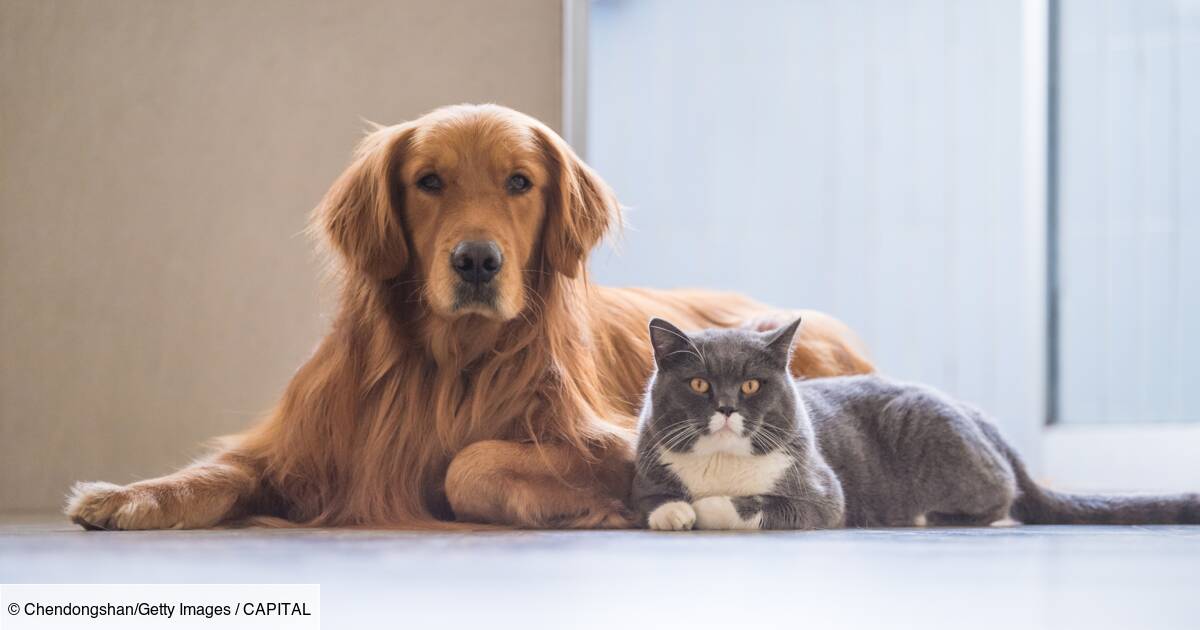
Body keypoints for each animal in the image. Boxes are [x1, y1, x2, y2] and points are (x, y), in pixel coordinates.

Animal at [65, 105, 873, 528]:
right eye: (429, 182)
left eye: (520, 182)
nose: (477, 260)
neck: (451, 360)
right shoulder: (304, 442)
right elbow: (218, 469)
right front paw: (126, 496)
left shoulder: (613, 441)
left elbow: (469, 462)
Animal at [633, 316, 1195, 528]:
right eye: (699, 384)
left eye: (751, 386)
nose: (727, 407)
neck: (723, 462)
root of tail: (980, 416)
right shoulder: (645, 464)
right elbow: (650, 498)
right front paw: (672, 512)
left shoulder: (821, 493)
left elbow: (755, 504)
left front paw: (705, 508)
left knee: (1002, 497)